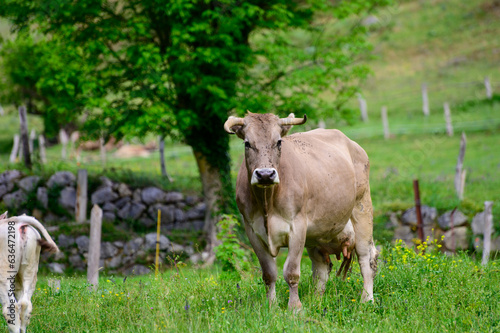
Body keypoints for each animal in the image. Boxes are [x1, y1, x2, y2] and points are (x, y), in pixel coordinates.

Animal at [225, 112, 376, 308]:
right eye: (247, 143)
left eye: (279, 142)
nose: (265, 174)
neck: (267, 203)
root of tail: (352, 144)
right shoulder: (253, 232)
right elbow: (269, 274)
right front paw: (272, 307)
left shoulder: (297, 228)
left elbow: (291, 272)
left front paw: (295, 308)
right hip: (318, 236)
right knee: (321, 269)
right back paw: (316, 301)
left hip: (362, 208)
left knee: (367, 258)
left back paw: (367, 299)